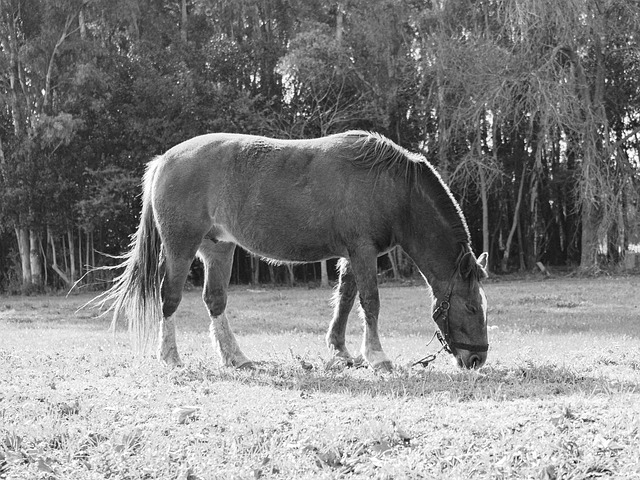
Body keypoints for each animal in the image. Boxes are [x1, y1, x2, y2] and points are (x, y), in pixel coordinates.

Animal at [101, 130, 490, 372]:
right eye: (472, 307)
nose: (477, 360)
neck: (393, 188)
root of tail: (163, 160)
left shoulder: (351, 254)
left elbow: (345, 299)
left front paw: (341, 351)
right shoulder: (362, 250)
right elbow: (370, 302)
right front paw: (377, 357)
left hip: (218, 248)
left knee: (215, 301)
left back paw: (235, 357)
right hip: (181, 247)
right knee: (170, 297)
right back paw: (170, 356)